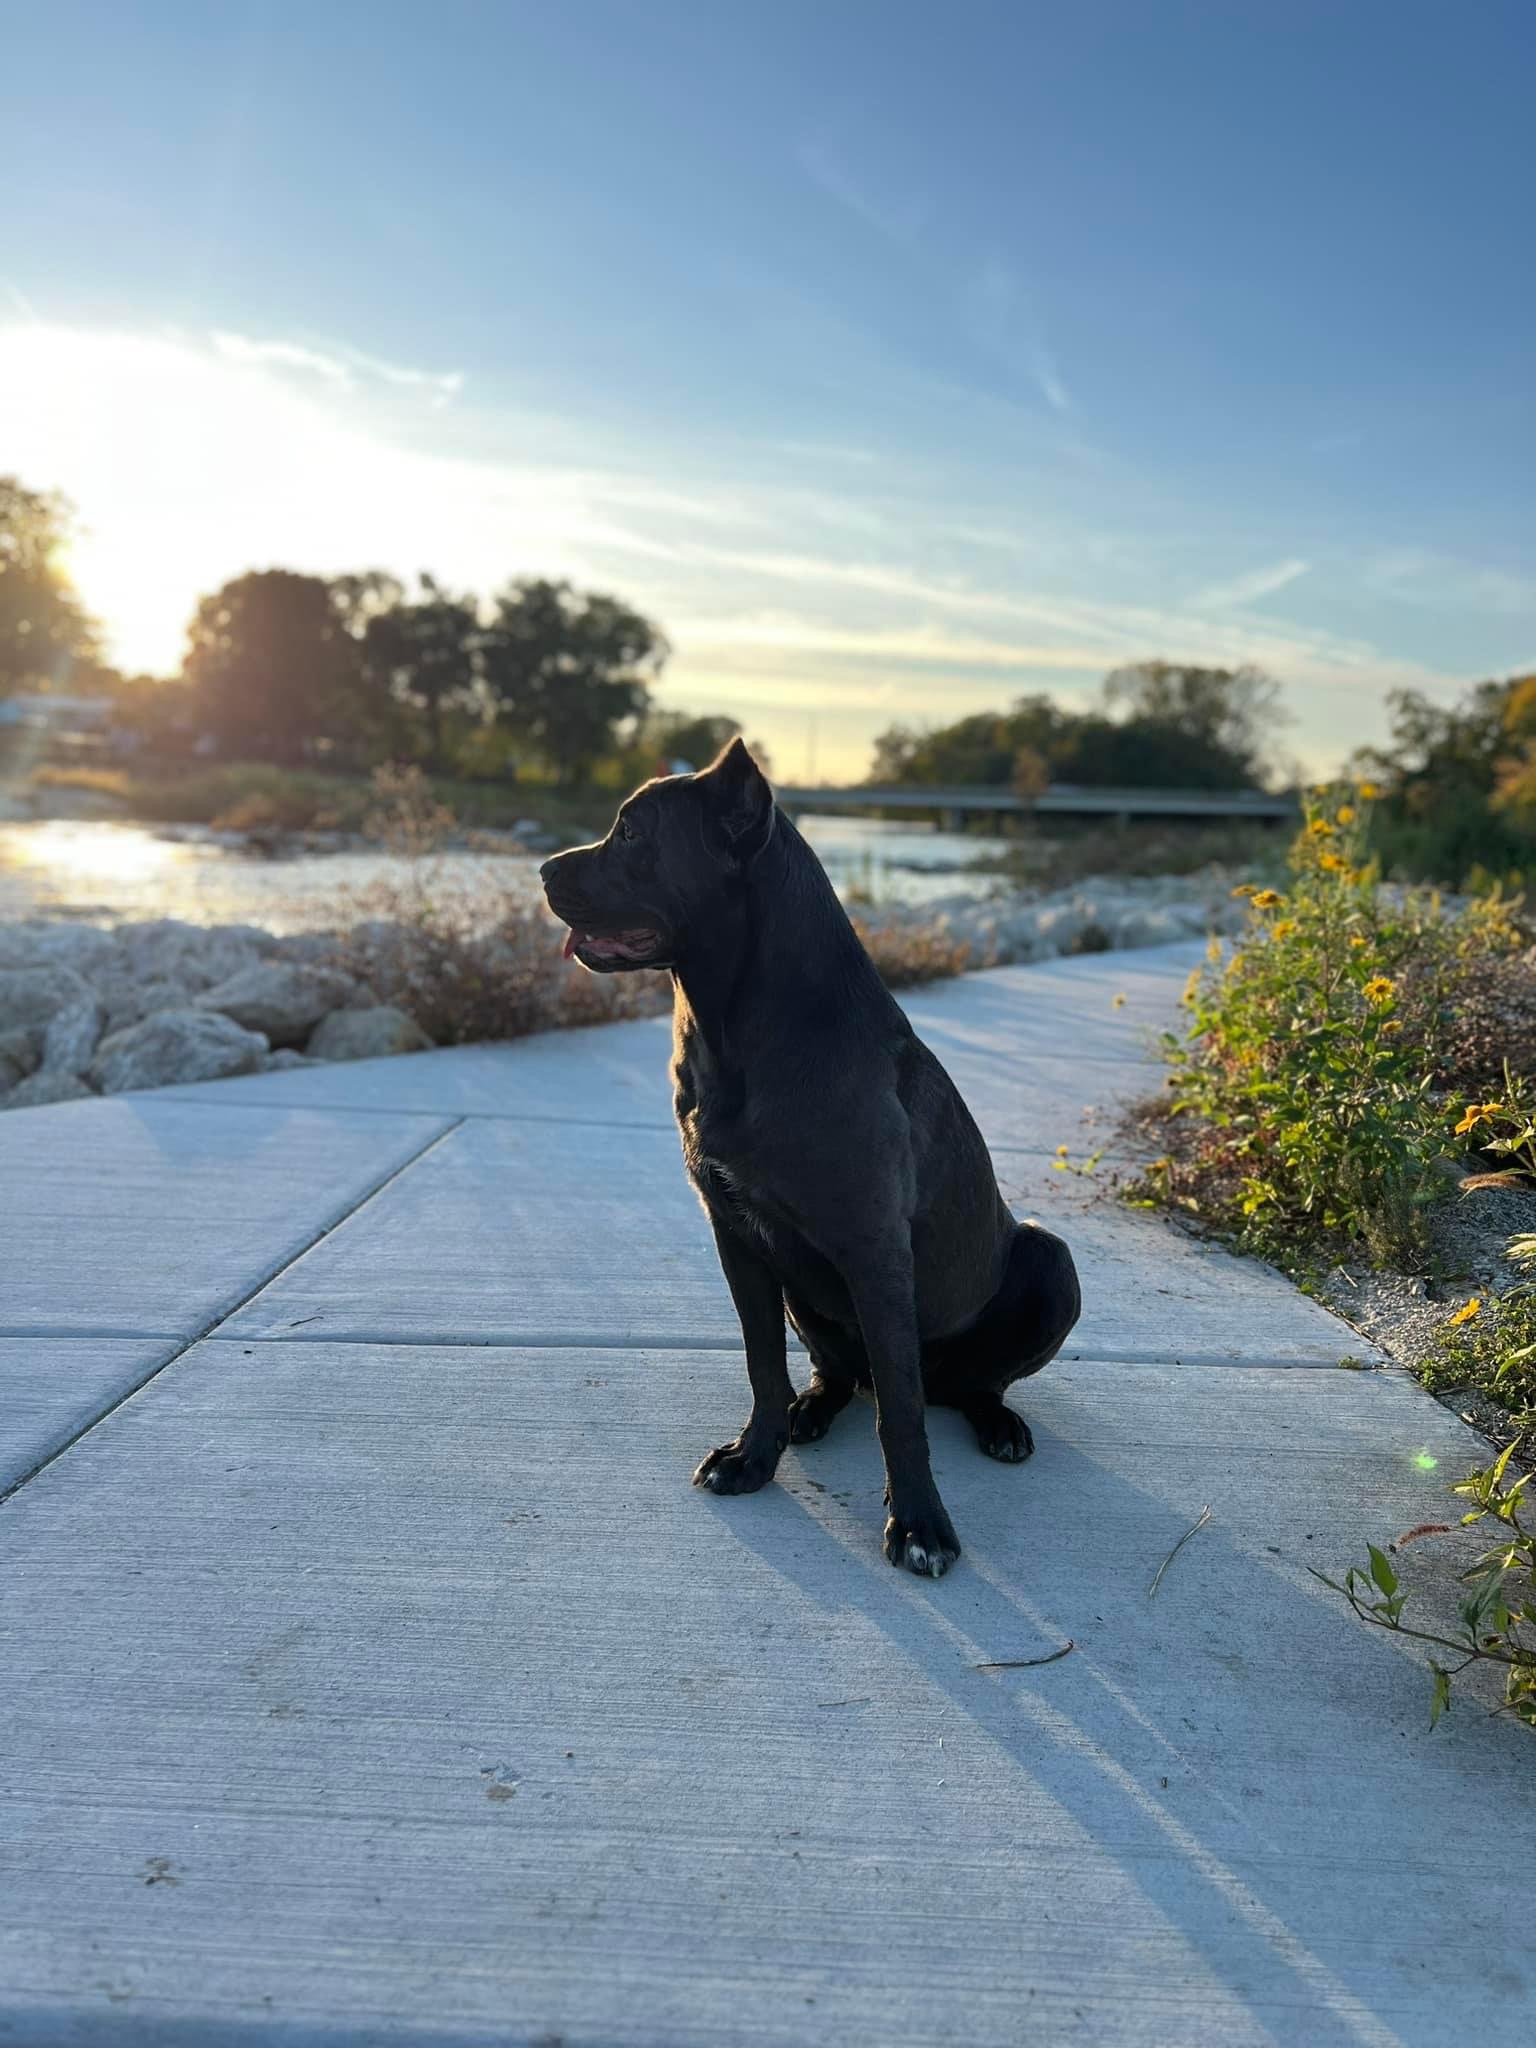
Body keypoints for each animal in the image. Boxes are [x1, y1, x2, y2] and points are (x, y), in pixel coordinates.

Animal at [540, 745, 1081, 1572]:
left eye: (631, 834)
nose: (540, 870)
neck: (745, 1027)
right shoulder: (736, 1234)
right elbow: (763, 1364)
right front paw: (754, 1457)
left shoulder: (875, 1248)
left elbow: (901, 1411)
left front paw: (919, 1525)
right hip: (808, 1298)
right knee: (842, 1375)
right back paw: (810, 1411)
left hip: (1051, 1262)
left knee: (960, 1387)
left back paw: (998, 1425)